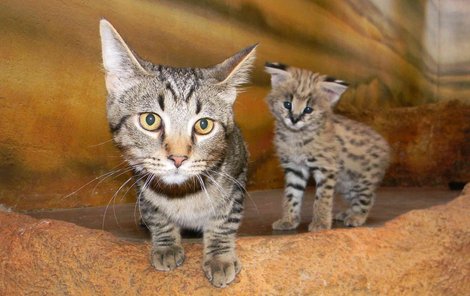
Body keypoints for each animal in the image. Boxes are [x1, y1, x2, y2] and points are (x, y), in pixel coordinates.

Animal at [97, 19, 255, 286]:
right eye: (150, 120)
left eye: (204, 125)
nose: (178, 157)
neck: (182, 195)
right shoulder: (140, 179)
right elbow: (155, 213)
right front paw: (166, 244)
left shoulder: (238, 174)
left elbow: (224, 220)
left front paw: (219, 256)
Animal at [264, 62, 390, 232]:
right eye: (287, 104)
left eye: (308, 109)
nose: (295, 119)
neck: (296, 136)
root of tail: (384, 144)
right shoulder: (294, 167)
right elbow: (291, 195)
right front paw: (288, 220)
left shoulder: (326, 167)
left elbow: (322, 197)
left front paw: (320, 223)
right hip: (346, 185)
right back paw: (347, 213)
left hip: (360, 180)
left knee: (368, 198)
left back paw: (356, 217)